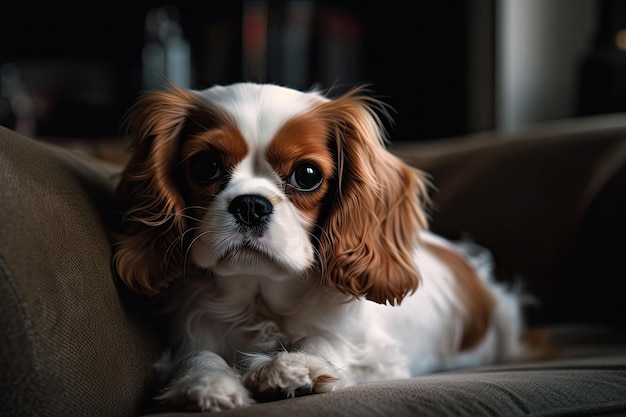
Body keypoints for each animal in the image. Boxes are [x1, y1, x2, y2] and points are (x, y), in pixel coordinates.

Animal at [111, 83, 528, 412]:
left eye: (307, 175)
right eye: (205, 166)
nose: (250, 205)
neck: (261, 297)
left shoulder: (379, 355)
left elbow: (321, 340)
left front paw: (290, 367)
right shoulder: (193, 331)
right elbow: (198, 355)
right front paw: (204, 384)